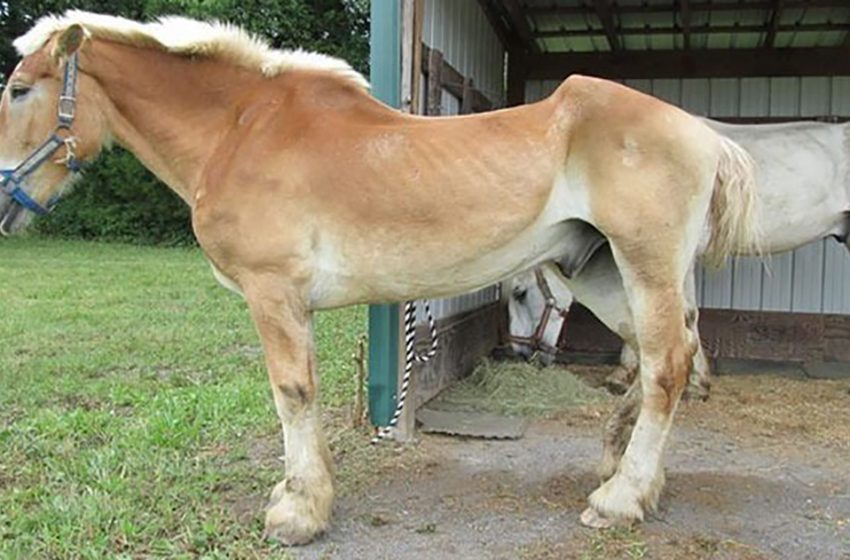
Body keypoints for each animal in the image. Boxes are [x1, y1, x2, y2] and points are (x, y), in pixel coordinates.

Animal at [0, 12, 756, 548]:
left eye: (18, 89)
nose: (4, 196)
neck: (240, 130)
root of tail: (700, 130)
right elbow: (301, 394)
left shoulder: (274, 294)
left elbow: (292, 393)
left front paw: (298, 511)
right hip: (599, 269)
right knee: (664, 363)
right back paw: (634, 479)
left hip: (643, 263)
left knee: (666, 366)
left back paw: (619, 500)